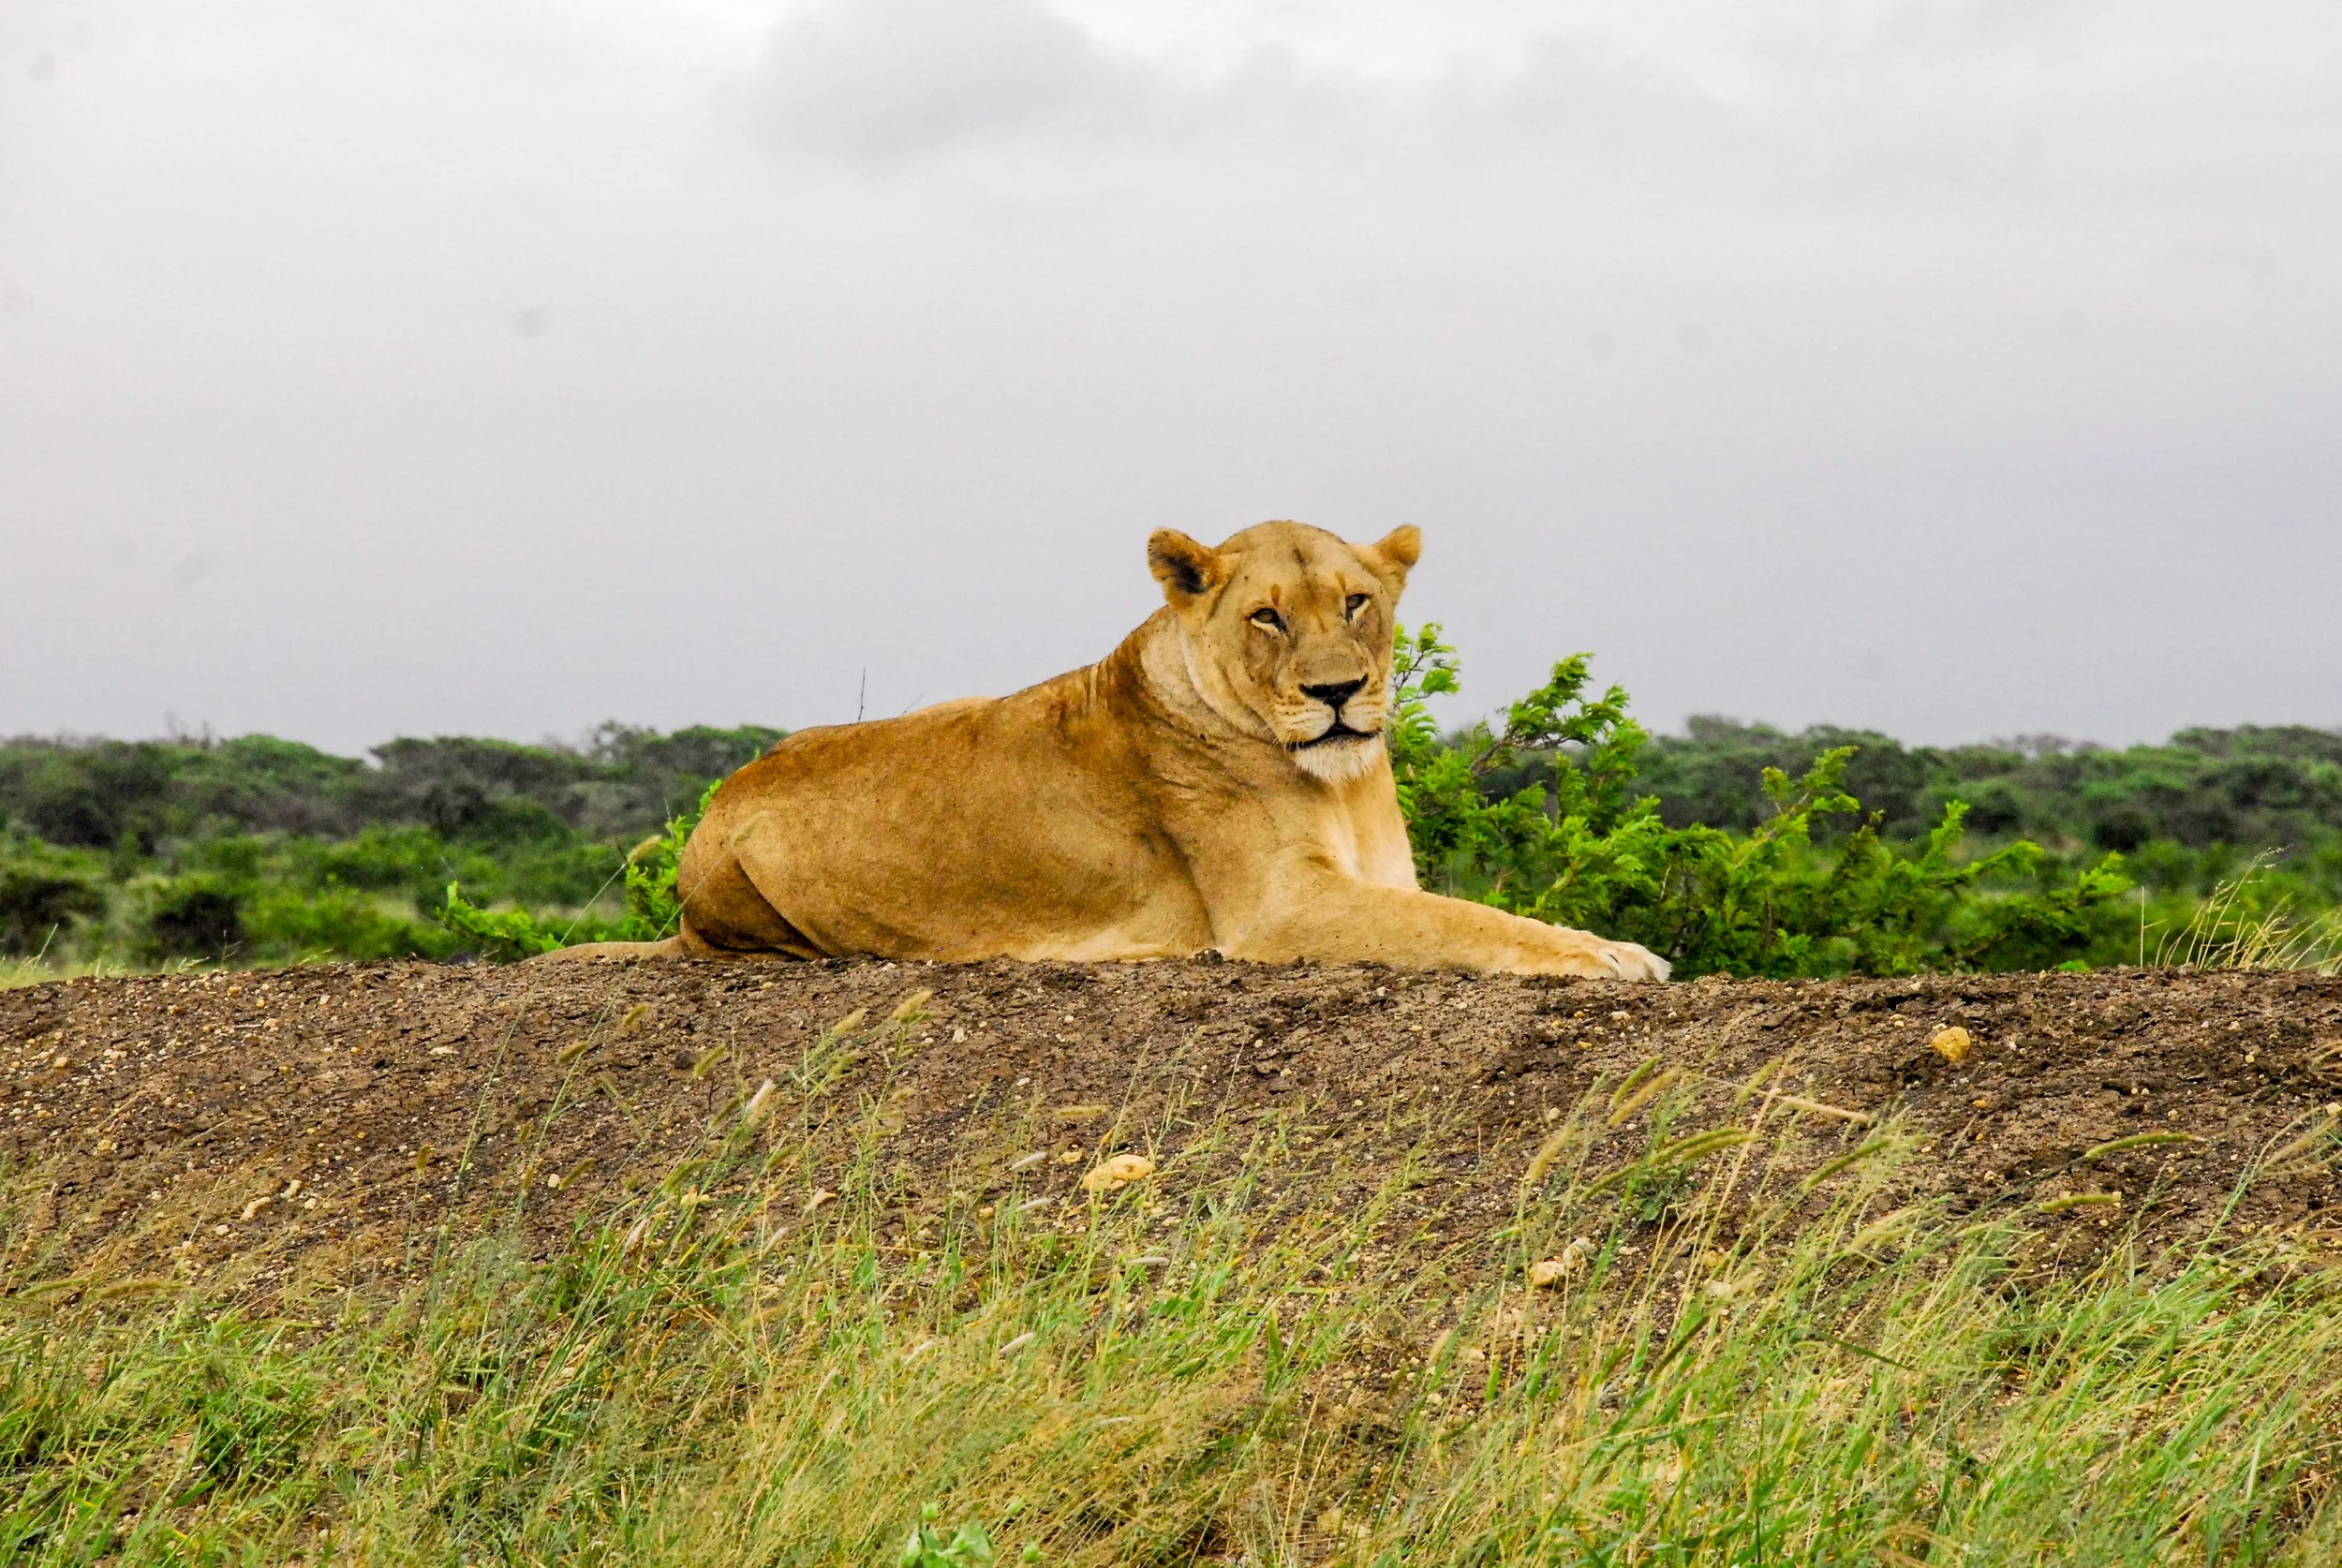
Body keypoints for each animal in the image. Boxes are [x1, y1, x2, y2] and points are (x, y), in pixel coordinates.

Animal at [545, 521, 1669, 980]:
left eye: (1356, 602)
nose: (1337, 693)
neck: (1343, 782)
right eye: (1267, 616)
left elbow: (1465, 911)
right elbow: (1470, 922)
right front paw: (1612, 954)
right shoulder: (1278, 911)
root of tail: (728, 787)